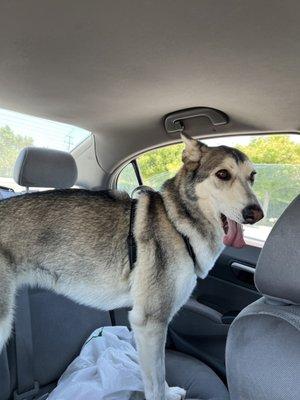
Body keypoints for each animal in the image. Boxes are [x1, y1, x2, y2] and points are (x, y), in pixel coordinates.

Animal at [0, 134, 262, 400]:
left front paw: (170, 391)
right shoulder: (150, 322)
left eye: (252, 176)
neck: (176, 223)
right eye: (223, 174)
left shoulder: (152, 325)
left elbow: (159, 372)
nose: (256, 213)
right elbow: (154, 384)